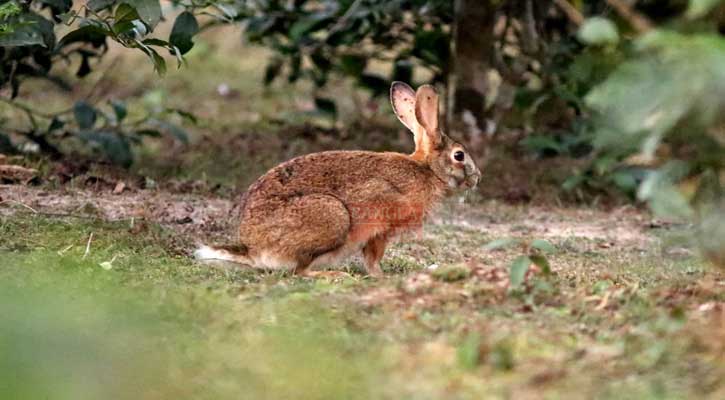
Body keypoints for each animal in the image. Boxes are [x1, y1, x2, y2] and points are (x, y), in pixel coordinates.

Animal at [195, 81, 484, 276]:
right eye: (459, 155)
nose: (478, 178)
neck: (427, 170)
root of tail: (253, 249)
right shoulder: (379, 226)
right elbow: (372, 258)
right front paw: (381, 278)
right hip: (333, 216)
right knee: (299, 271)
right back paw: (334, 275)